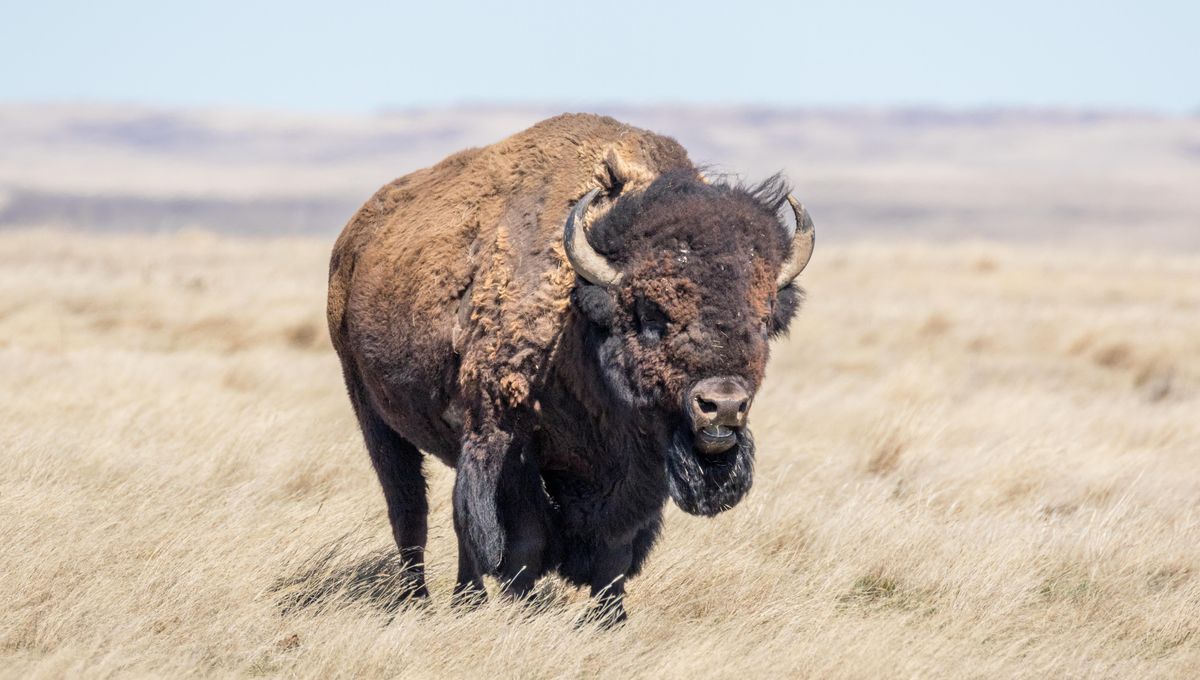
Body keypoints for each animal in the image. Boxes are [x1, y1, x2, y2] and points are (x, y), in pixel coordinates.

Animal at [327, 113, 814, 621]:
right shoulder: (510, 443)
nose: (722, 405)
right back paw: (422, 601)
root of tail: (352, 241)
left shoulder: (636, 471)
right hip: (374, 417)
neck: (577, 317)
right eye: (650, 314)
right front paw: (522, 608)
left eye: (763, 320)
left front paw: (611, 618)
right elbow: (522, 539)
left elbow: (616, 547)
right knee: (410, 511)